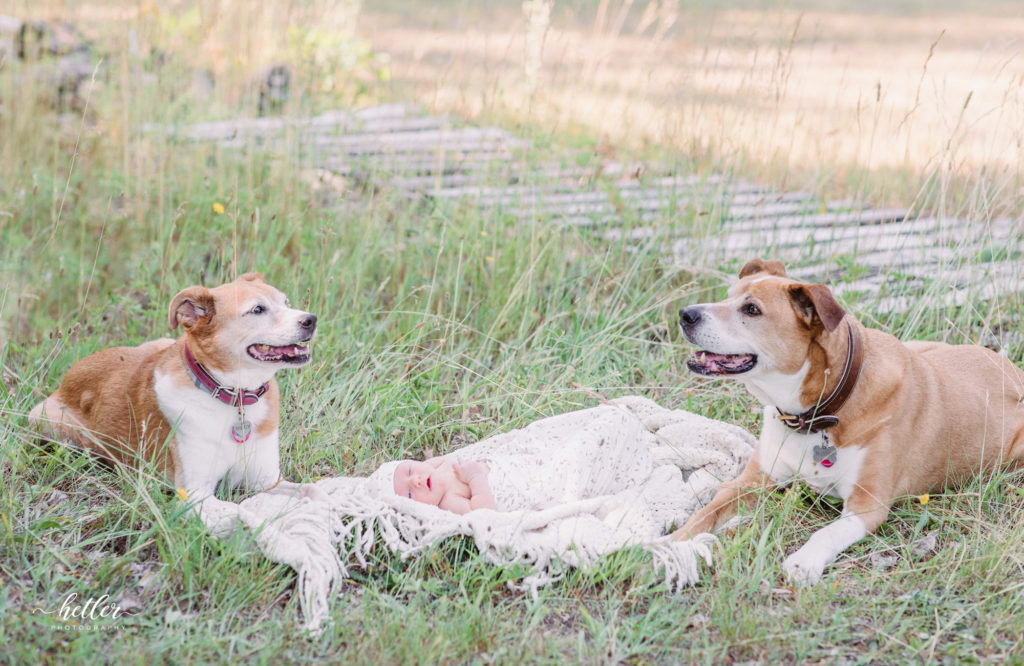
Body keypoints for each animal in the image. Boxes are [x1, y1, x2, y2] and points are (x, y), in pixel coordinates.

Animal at [29, 272, 323, 532]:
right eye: (258, 309)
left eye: (286, 302)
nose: (311, 319)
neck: (234, 399)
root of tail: (72, 373)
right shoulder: (195, 493)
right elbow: (241, 513)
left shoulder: (267, 481)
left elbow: (314, 491)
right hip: (51, 424)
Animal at [671, 258, 1024, 581]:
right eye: (727, 296)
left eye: (752, 310)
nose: (685, 314)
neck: (817, 413)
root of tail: (1010, 368)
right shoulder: (752, 481)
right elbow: (705, 514)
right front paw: (671, 543)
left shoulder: (867, 504)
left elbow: (826, 532)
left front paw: (804, 561)